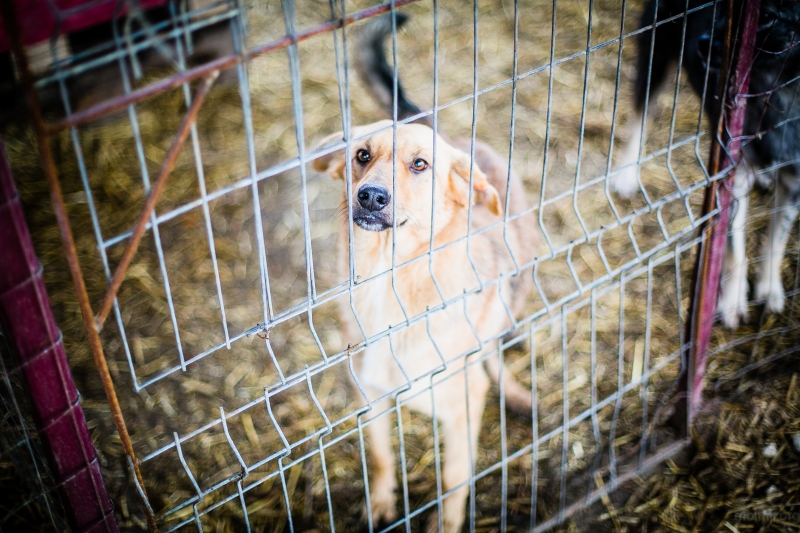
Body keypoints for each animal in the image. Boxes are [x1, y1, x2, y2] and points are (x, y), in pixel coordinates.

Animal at [314, 120, 536, 532]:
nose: (371, 196)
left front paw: (445, 523)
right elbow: (380, 456)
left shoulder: (464, 404)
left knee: (492, 349)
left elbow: (453, 477)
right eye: (362, 155)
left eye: (420, 164)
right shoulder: (370, 395)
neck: (390, 286)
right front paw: (380, 502)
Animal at [616, 0, 800, 328]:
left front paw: (769, 289)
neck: (779, 91)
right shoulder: (732, 174)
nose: (702, 43)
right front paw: (731, 301)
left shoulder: (794, 180)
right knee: (642, 112)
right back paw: (626, 173)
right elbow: (734, 247)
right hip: (656, 48)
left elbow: (776, 240)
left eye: (766, 16)